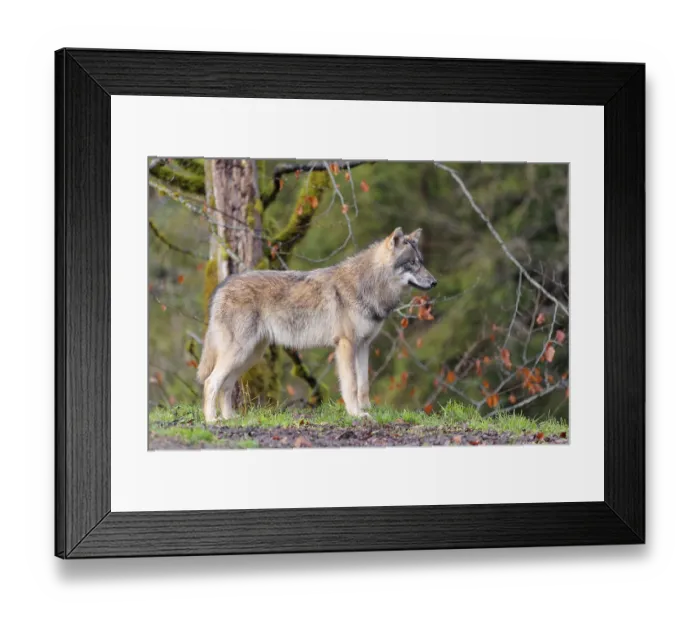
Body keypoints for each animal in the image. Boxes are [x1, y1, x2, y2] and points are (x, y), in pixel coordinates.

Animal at [196, 227, 437, 422]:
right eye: (412, 263)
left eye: (422, 262)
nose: (434, 282)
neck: (368, 286)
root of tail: (223, 285)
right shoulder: (345, 345)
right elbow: (351, 385)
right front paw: (355, 414)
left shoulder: (363, 346)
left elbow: (363, 385)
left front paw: (367, 410)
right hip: (240, 353)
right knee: (210, 382)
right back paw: (212, 420)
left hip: (250, 355)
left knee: (226, 385)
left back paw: (230, 418)